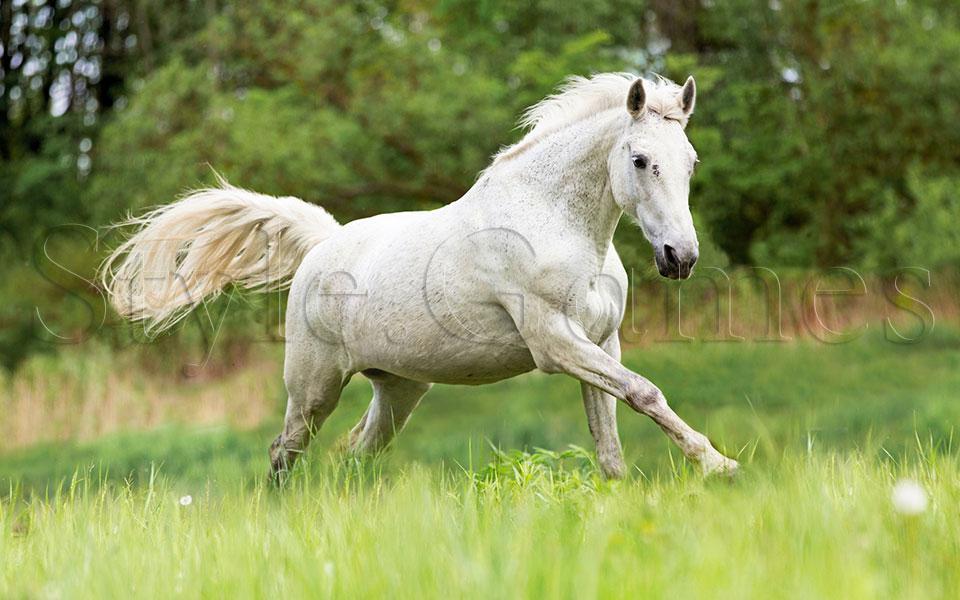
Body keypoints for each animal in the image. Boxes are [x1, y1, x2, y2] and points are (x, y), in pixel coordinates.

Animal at [101, 73, 739, 481]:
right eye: (639, 160)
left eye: (690, 162)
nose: (681, 257)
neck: (553, 221)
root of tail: (324, 242)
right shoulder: (556, 343)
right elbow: (645, 392)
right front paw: (719, 465)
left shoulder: (602, 342)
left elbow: (611, 445)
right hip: (313, 387)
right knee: (285, 452)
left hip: (399, 388)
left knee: (356, 455)